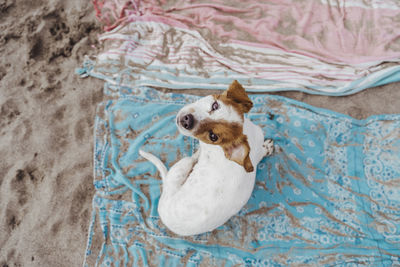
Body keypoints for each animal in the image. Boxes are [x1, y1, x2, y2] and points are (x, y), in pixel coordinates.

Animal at [139, 80, 274, 236]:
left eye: (213, 136)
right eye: (215, 105)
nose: (187, 121)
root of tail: (162, 208)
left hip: (182, 164)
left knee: (190, 160)